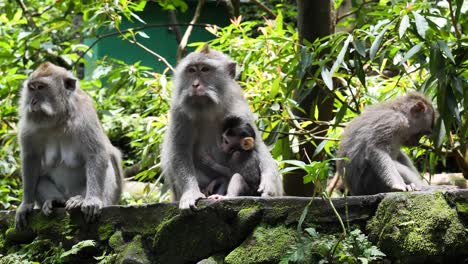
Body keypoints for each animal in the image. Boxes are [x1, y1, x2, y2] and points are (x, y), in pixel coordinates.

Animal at [15, 61, 123, 229]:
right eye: (31, 88)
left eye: (41, 87)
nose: (32, 102)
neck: (57, 120)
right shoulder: (29, 126)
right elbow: (30, 158)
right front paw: (26, 204)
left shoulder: (85, 115)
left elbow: (96, 153)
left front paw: (92, 200)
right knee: (39, 179)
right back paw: (56, 201)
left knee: (107, 164)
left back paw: (80, 199)